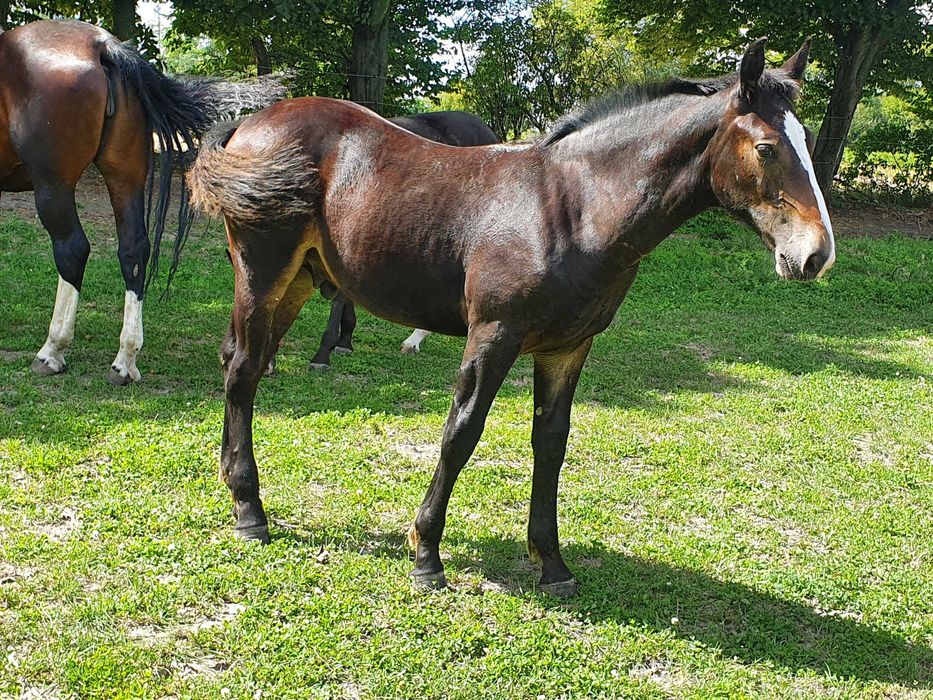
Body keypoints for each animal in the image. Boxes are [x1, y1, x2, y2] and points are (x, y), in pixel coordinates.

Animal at [0, 20, 280, 382]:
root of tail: (101, 46)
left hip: (53, 186)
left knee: (72, 250)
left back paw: (52, 351)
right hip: (125, 176)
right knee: (133, 250)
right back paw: (125, 360)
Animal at [193, 38, 832, 596]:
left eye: (806, 141)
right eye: (767, 148)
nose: (815, 256)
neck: (573, 207)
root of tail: (248, 125)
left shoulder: (567, 347)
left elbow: (551, 443)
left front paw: (551, 563)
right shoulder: (494, 334)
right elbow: (461, 432)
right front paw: (426, 554)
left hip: (298, 280)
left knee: (237, 362)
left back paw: (233, 484)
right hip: (262, 272)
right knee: (244, 370)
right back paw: (250, 510)